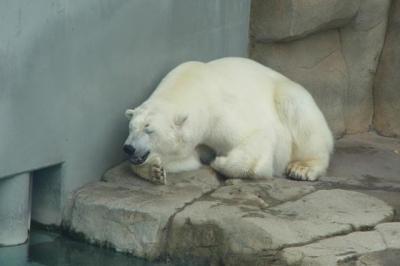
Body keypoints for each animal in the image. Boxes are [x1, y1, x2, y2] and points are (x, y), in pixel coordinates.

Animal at [122, 57, 334, 184]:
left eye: (149, 129)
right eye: (132, 128)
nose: (129, 148)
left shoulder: (220, 113)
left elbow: (256, 138)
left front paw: (217, 161)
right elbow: (186, 158)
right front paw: (155, 169)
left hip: (290, 95)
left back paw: (302, 168)